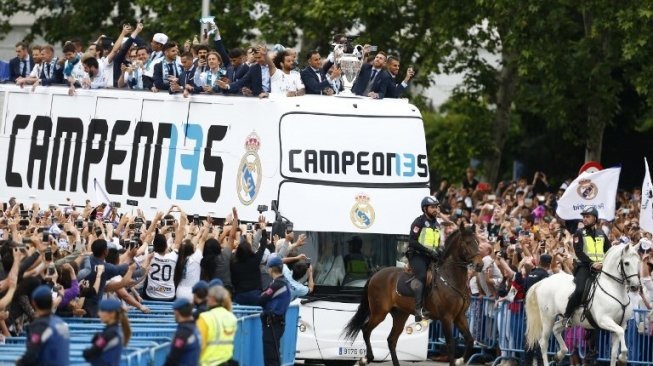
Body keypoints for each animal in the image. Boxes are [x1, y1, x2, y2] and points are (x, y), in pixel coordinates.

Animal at [344, 226, 482, 366]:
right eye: (468, 242)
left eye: (478, 242)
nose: (480, 265)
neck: (451, 279)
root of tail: (376, 273)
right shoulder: (446, 317)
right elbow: (450, 345)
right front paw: (457, 360)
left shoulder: (460, 316)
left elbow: (470, 340)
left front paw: (460, 360)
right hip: (379, 312)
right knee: (366, 330)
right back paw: (366, 358)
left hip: (400, 315)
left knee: (391, 340)